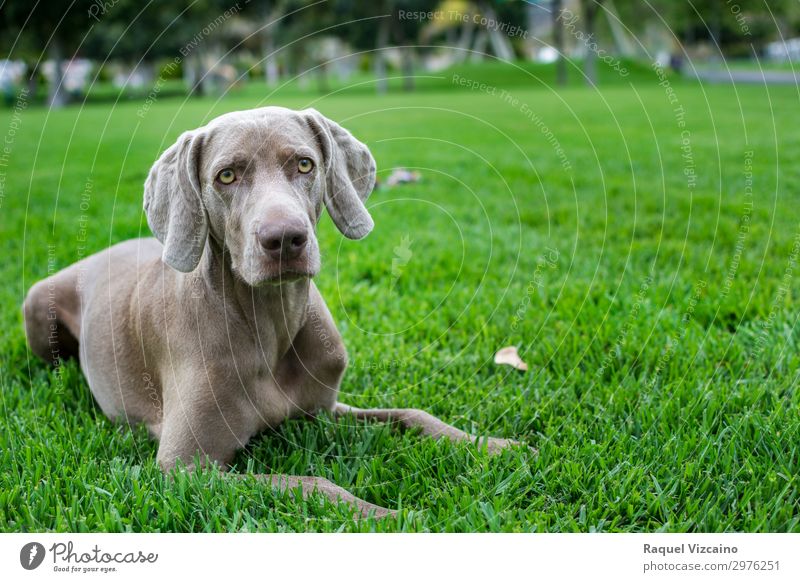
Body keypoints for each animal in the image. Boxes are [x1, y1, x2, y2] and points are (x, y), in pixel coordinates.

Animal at [21, 107, 528, 516]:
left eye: (304, 164)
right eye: (226, 176)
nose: (285, 239)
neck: (271, 323)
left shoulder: (322, 410)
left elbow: (412, 414)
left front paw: (496, 445)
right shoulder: (183, 468)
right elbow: (315, 484)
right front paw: (391, 516)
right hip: (36, 306)